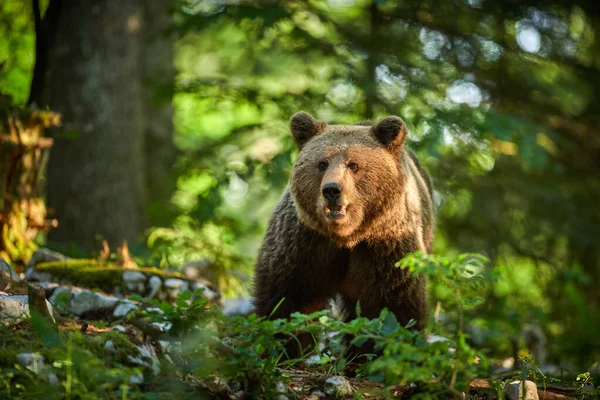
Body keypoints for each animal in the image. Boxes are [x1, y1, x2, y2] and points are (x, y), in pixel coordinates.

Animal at [253, 111, 436, 354]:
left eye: (353, 165)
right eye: (322, 163)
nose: (331, 190)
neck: (346, 237)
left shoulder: (386, 248)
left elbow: (394, 310)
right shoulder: (303, 245)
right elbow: (285, 301)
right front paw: (284, 349)